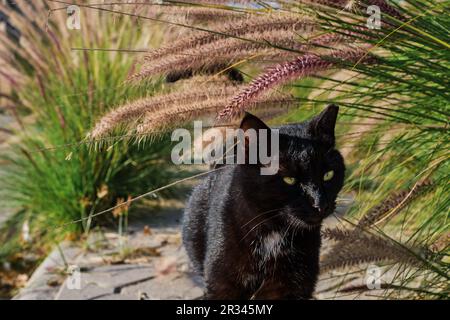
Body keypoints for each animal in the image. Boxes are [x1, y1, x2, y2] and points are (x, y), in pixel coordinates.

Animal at [183, 105, 344, 300]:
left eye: (328, 175)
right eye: (289, 179)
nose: (320, 204)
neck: (273, 233)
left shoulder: (291, 285)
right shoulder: (222, 284)